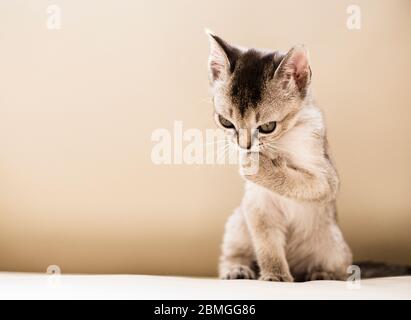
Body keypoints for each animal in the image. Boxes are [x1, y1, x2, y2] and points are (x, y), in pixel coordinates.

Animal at [208, 31, 352, 282]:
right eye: (226, 122)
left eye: (268, 126)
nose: (244, 146)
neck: (280, 143)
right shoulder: (257, 204)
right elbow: (267, 245)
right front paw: (276, 275)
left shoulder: (328, 180)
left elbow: (299, 181)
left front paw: (260, 166)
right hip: (237, 222)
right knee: (231, 254)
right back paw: (238, 270)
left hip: (334, 244)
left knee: (340, 270)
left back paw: (321, 274)